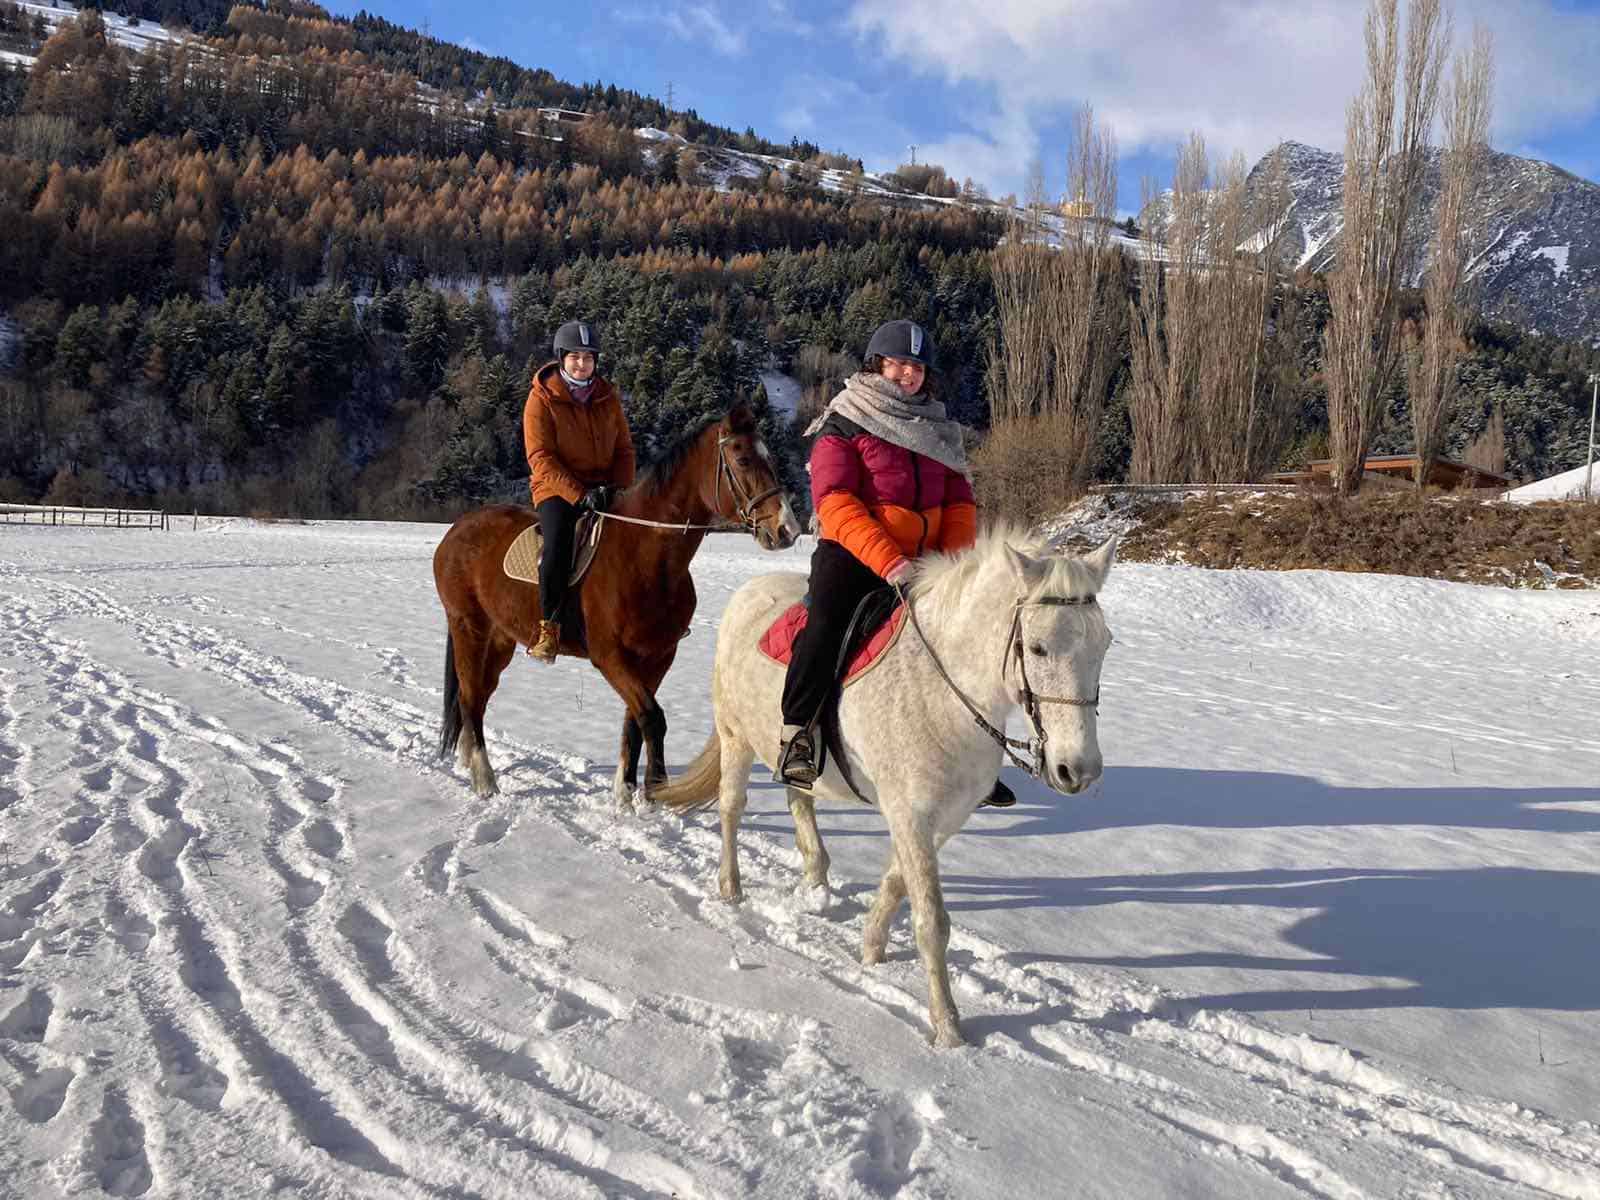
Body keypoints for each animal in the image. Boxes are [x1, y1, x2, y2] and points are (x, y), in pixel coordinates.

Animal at [432, 404, 800, 809]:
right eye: (743, 458)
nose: (788, 530)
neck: (643, 556)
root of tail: (457, 529)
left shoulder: (657, 657)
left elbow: (635, 721)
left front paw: (628, 791)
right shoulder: (610, 657)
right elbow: (652, 718)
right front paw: (655, 791)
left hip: (500, 639)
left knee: (478, 697)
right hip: (469, 628)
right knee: (469, 696)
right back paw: (484, 779)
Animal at [649, 531, 1113, 1049]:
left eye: (1105, 646)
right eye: (1036, 648)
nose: (1079, 769)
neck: (942, 692)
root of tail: (749, 591)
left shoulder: (939, 818)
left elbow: (895, 883)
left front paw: (870, 948)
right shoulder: (911, 814)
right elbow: (932, 922)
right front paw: (948, 1028)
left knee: (799, 796)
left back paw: (816, 879)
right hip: (735, 736)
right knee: (732, 808)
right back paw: (731, 889)